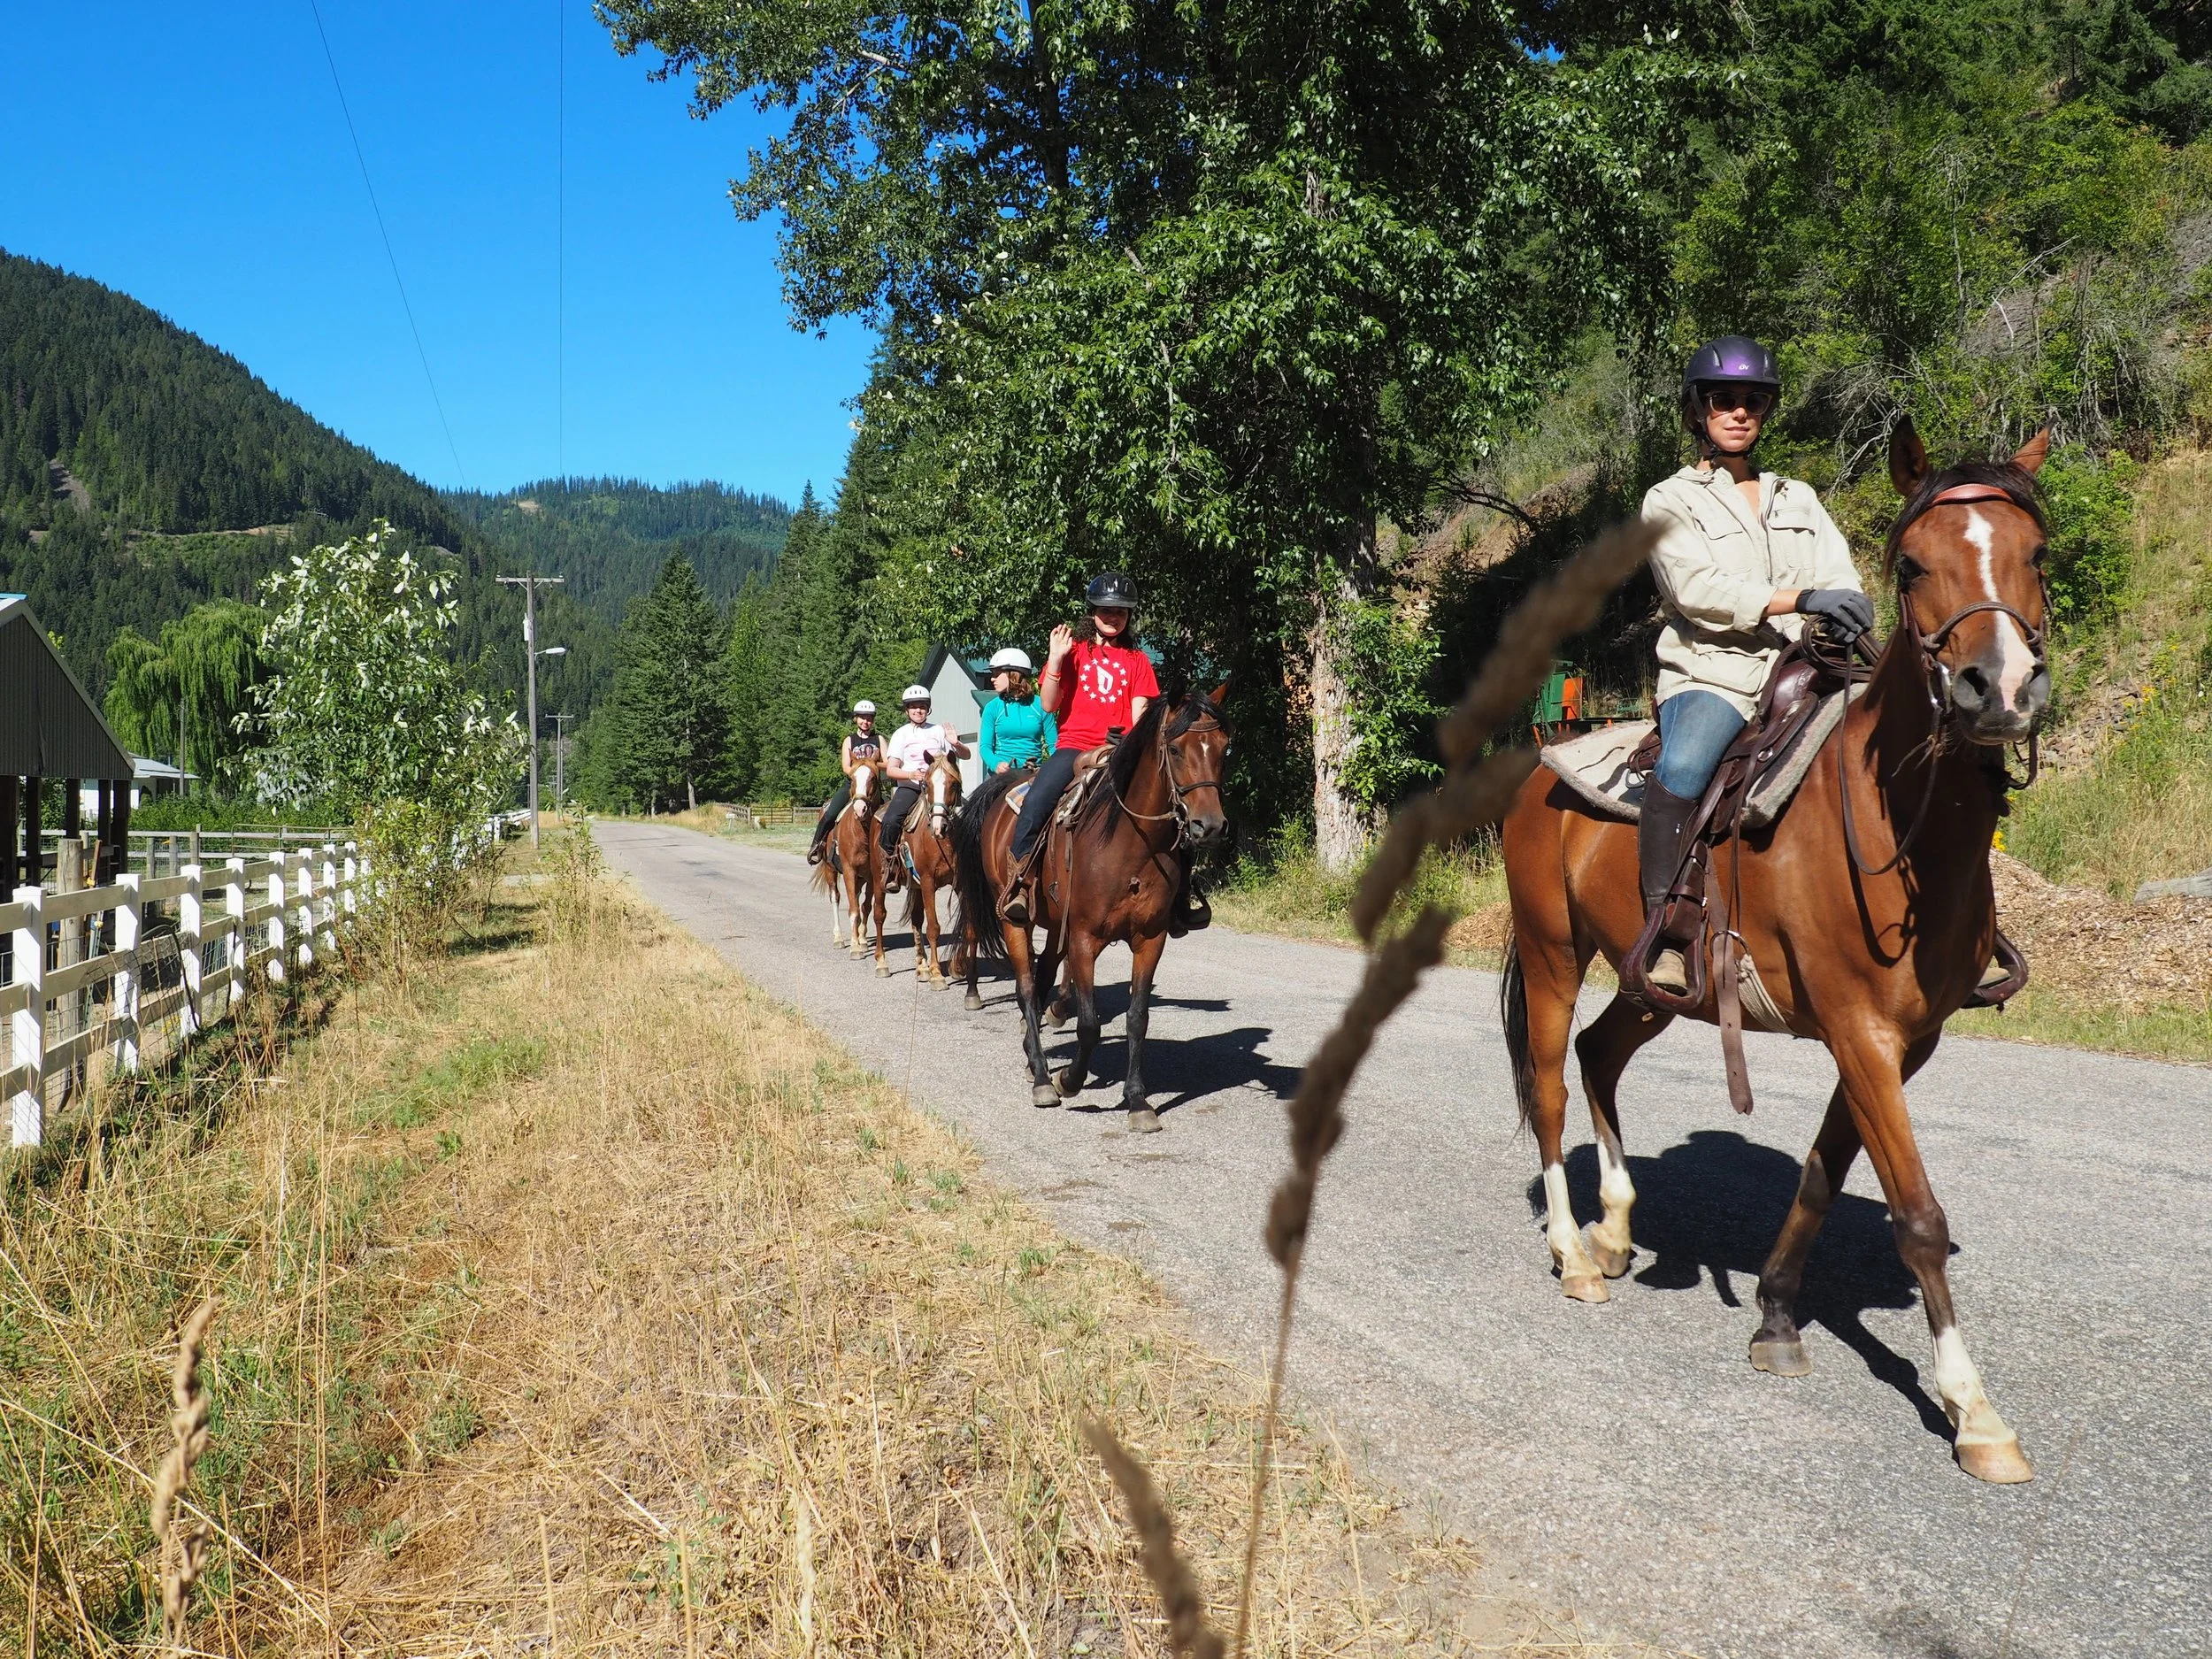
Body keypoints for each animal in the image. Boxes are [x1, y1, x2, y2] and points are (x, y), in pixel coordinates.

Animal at [809, 757, 890, 972]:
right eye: (852, 778)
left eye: (873, 778)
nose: (860, 809)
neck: (862, 832)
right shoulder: (848, 872)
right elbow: (853, 910)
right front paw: (855, 948)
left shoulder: (871, 876)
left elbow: (865, 907)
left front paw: (861, 939)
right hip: (831, 870)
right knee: (835, 898)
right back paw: (838, 938)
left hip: (859, 879)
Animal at [901, 749, 966, 986]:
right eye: (926, 785)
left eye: (954, 784)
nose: (939, 827)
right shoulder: (928, 882)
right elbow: (933, 927)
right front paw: (937, 973)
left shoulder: (960, 882)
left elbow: (965, 925)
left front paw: (958, 966)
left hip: (915, 886)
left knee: (916, 920)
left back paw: (922, 967)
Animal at [952, 685, 1231, 1132]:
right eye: (1174, 749)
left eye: (1224, 748)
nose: (1211, 826)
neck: (1130, 842)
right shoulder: (1084, 938)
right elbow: (1089, 1024)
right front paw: (1069, 1079)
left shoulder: (1150, 939)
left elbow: (1137, 1019)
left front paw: (1137, 1100)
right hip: (1015, 919)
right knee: (1026, 986)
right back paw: (1042, 1076)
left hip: (1055, 925)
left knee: (1044, 976)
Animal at [1496, 420, 2051, 1484]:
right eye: (1912, 564)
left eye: (2036, 554)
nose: (1996, 688)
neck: (1894, 825)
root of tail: (1535, 773)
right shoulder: (1859, 1032)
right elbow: (1919, 1216)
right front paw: (1974, 1411)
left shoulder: (1895, 1044)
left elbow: (1823, 1176)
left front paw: (1777, 1318)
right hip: (1551, 954)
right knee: (1547, 1084)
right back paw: (1577, 1258)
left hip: (1651, 984)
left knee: (1597, 1054)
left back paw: (1617, 1226)